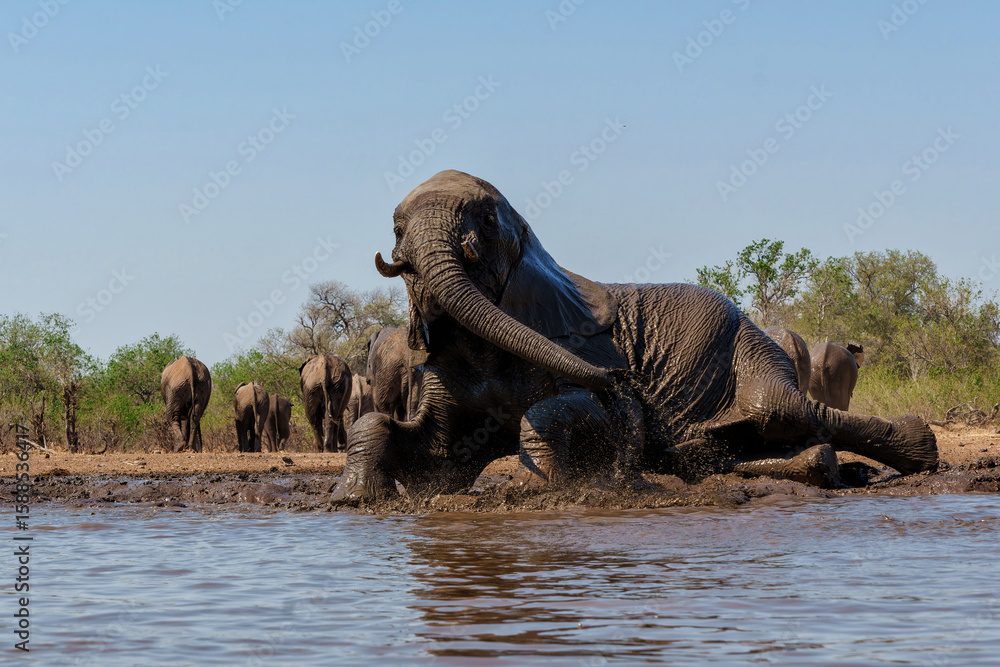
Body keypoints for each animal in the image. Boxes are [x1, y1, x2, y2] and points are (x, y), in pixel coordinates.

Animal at [331, 170, 937, 503]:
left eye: (484, 222)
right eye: (397, 230)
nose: (625, 373)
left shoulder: (574, 346)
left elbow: (564, 410)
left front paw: (540, 489)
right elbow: (429, 450)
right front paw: (353, 496)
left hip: (753, 349)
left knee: (781, 408)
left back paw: (918, 449)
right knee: (721, 452)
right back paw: (833, 467)